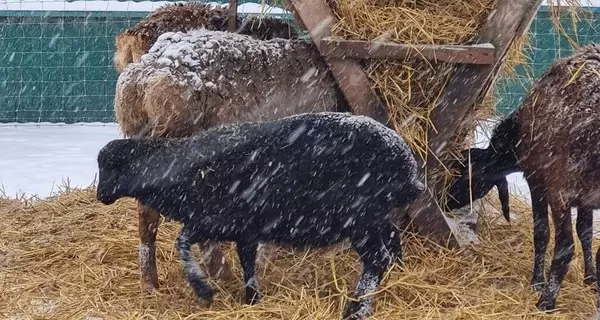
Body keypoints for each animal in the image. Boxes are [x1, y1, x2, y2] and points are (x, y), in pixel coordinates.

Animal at [95, 111, 426, 318]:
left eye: (113, 166)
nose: (101, 197)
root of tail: (407, 164)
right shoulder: (241, 229)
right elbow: (246, 262)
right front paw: (251, 299)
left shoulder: (218, 219)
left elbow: (182, 242)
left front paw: (203, 289)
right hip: (376, 217)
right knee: (392, 243)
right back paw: (400, 277)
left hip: (359, 218)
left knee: (376, 260)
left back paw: (358, 309)